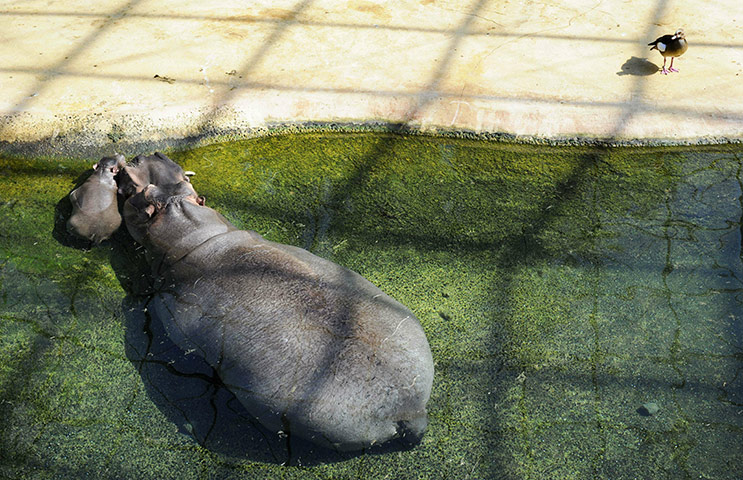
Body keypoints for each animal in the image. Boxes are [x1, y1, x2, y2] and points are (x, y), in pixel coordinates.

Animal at [123, 182, 434, 451]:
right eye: (181, 187)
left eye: (143, 192)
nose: (132, 188)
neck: (196, 236)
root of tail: (411, 407)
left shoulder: (170, 312)